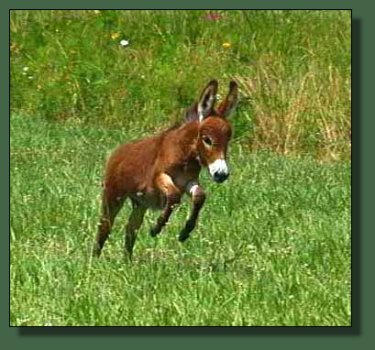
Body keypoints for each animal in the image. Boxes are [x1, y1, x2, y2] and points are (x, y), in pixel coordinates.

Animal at [94, 80, 239, 260]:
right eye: (207, 140)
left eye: (228, 140)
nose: (221, 174)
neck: (185, 155)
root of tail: (117, 152)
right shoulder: (158, 177)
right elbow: (174, 196)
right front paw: (156, 228)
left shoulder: (188, 181)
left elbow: (199, 196)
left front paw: (185, 232)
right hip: (113, 195)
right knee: (105, 226)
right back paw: (95, 260)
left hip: (140, 203)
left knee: (131, 228)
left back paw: (127, 261)